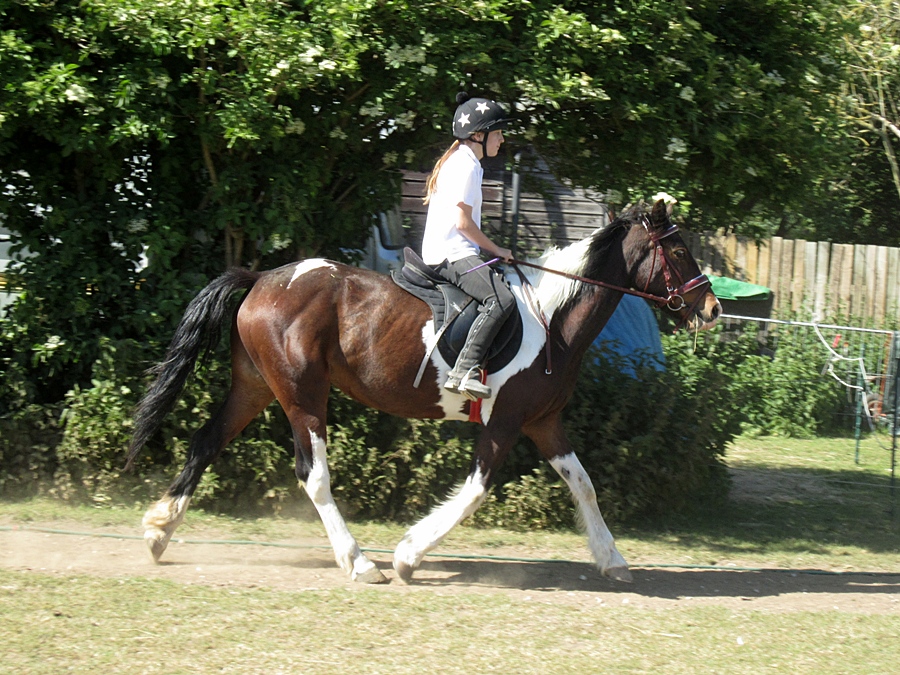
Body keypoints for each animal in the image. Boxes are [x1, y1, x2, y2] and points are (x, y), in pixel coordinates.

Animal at [125, 198, 721, 585]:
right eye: (679, 252)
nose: (712, 308)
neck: (552, 319)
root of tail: (263, 278)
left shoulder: (543, 421)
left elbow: (584, 484)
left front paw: (612, 559)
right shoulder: (504, 422)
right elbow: (475, 492)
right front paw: (409, 554)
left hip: (255, 387)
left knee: (205, 442)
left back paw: (158, 532)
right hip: (302, 397)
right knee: (312, 475)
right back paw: (360, 562)